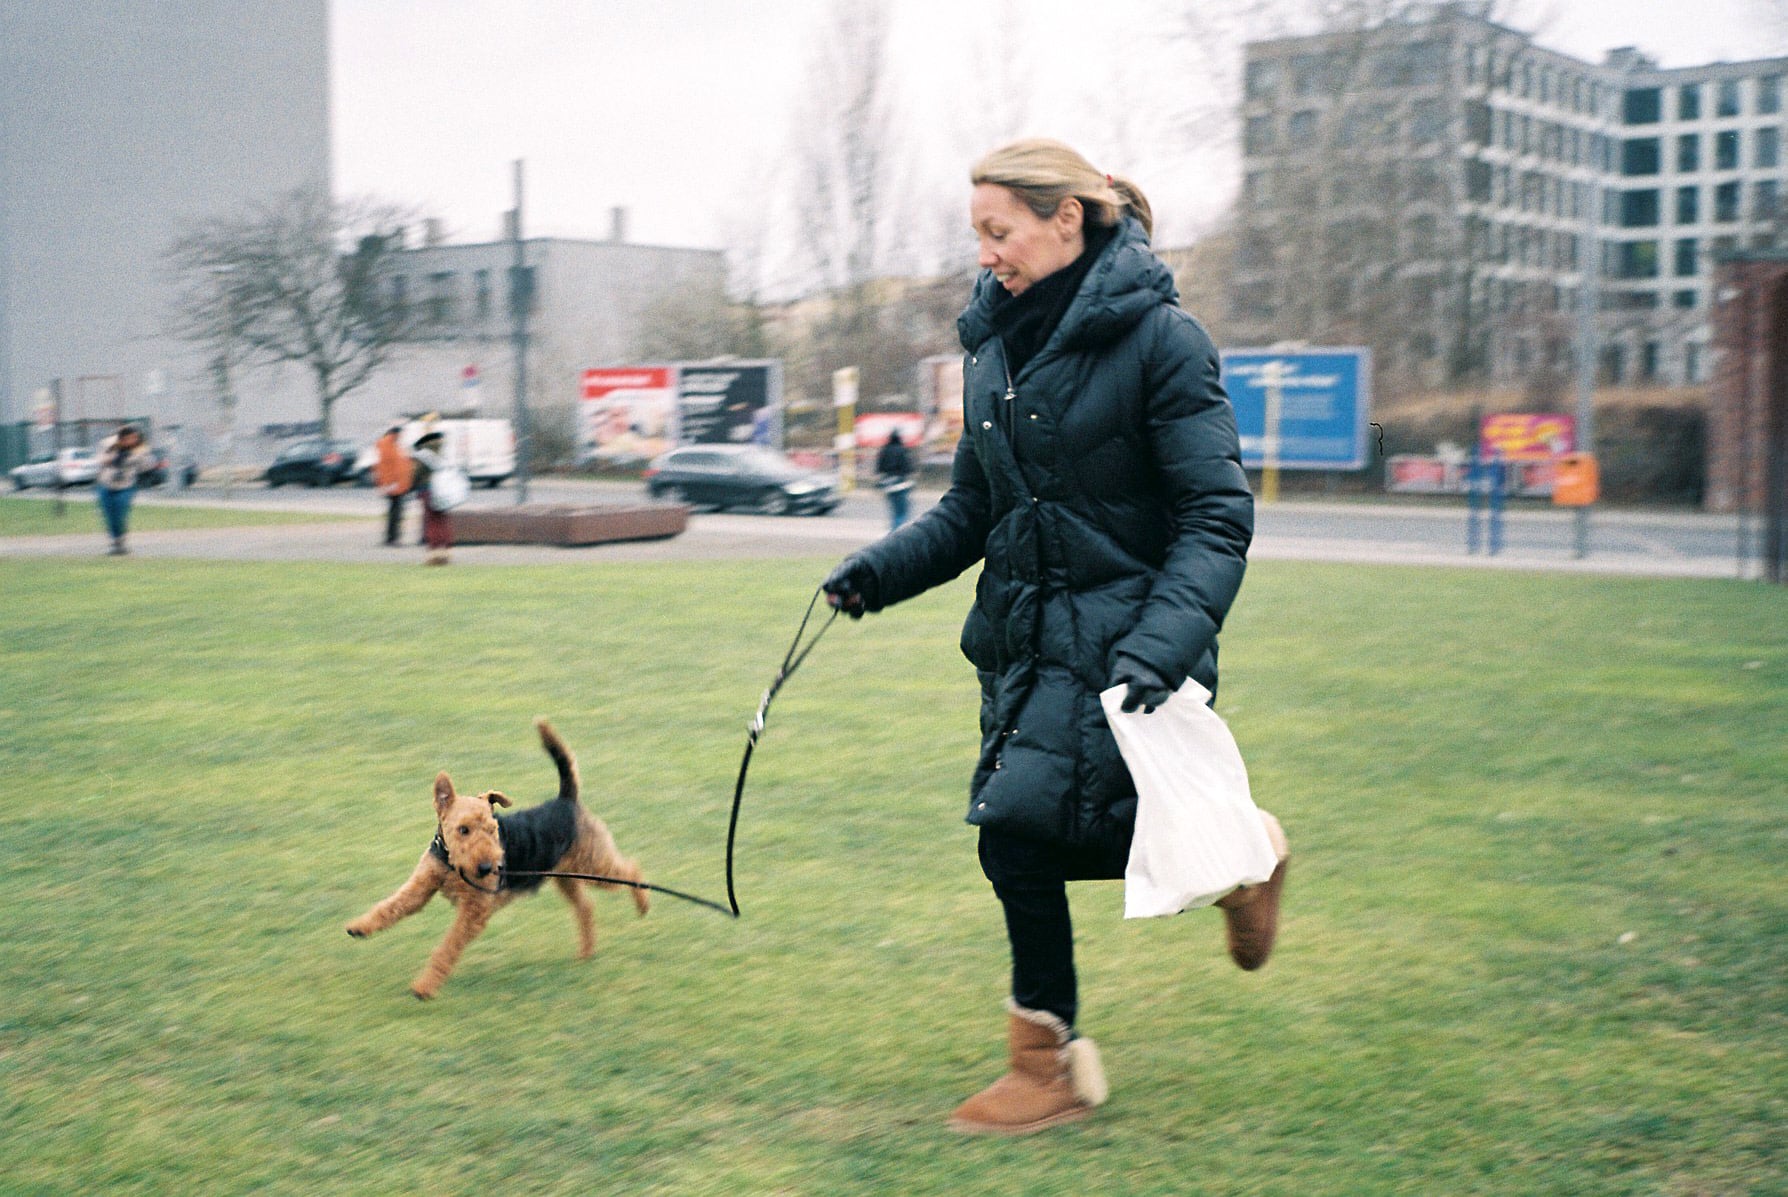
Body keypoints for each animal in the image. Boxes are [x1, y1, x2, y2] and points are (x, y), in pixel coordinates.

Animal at [343, 715, 650, 994]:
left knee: (631, 870)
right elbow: (390, 906)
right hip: (566, 876)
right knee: (586, 906)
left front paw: (424, 988)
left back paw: (643, 905)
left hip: (593, 867)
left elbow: (447, 947)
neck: (452, 864)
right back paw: (586, 952)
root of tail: (566, 800)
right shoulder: (421, 886)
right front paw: (358, 927)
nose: (487, 868)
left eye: (492, 829)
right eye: (463, 829)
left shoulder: (474, 910)